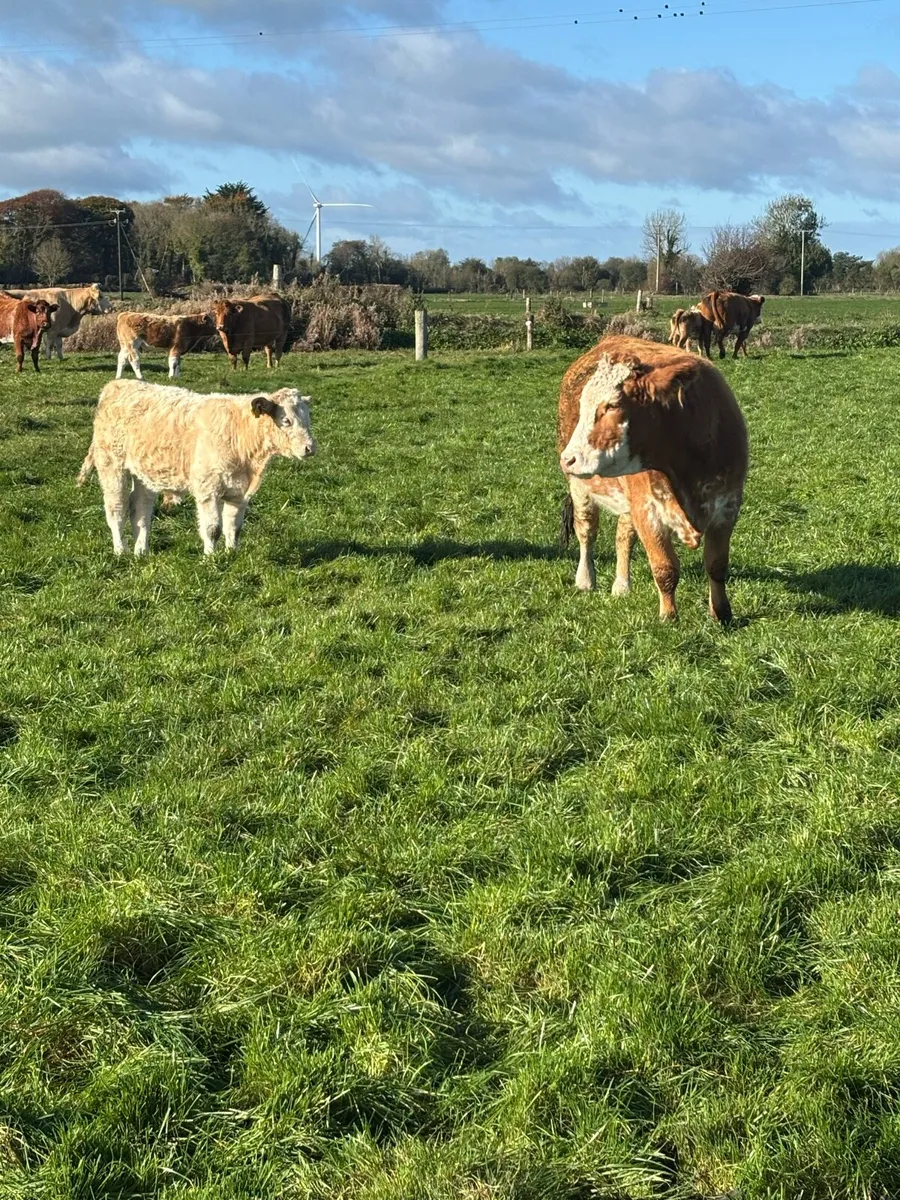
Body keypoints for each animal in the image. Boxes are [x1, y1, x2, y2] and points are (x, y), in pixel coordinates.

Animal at [77, 382, 316, 557]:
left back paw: (141, 551)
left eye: (308, 419)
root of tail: (117, 384)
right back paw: (121, 551)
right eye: (286, 420)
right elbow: (213, 528)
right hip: (111, 465)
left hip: (145, 475)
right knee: (116, 509)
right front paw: (210, 558)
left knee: (141, 510)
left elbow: (233, 527)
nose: (310, 448)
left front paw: (232, 554)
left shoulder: (238, 492)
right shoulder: (208, 488)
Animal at [558, 335, 748, 623]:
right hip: (580, 488)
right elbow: (665, 568)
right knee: (586, 531)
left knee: (623, 536)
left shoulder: (727, 508)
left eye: (612, 405)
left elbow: (716, 566)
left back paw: (622, 585)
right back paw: (585, 579)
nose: (568, 458)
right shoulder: (648, 512)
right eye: (583, 406)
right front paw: (669, 616)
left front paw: (722, 613)